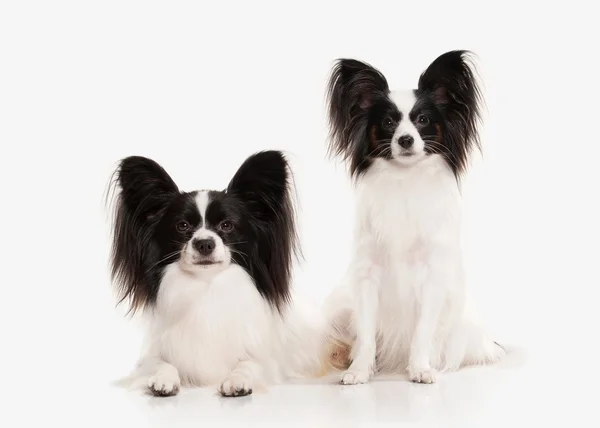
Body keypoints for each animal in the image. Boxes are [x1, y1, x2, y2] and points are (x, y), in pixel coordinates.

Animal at [110, 151, 330, 398]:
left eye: (227, 225)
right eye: (182, 226)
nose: (204, 243)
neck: (207, 286)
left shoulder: (268, 362)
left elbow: (249, 364)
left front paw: (237, 380)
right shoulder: (151, 356)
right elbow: (160, 363)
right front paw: (163, 379)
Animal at [324, 51, 506, 386]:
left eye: (423, 120)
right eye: (388, 123)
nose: (406, 140)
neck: (404, 181)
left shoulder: (432, 277)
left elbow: (422, 331)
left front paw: (420, 368)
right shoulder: (367, 276)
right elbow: (366, 334)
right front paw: (359, 370)